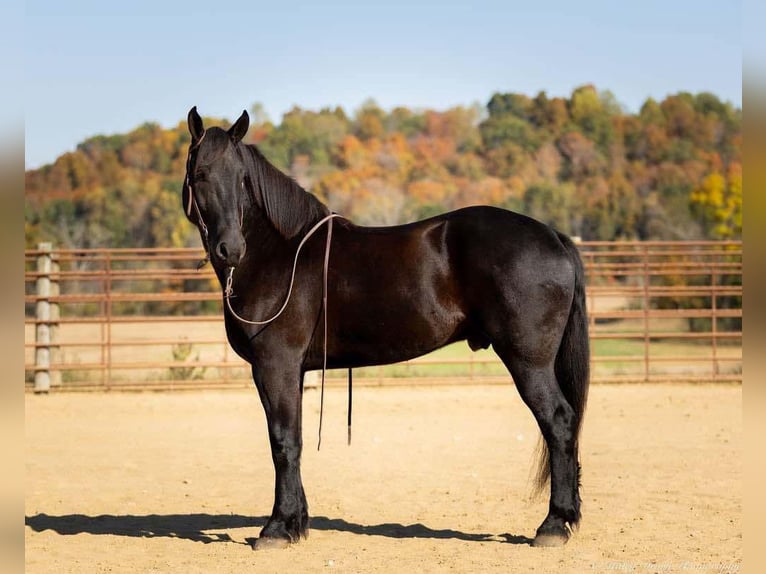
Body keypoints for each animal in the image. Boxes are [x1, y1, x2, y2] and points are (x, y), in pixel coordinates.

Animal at [183, 107, 592, 548]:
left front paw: (277, 528)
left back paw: (553, 524)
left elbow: (283, 442)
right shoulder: (289, 371)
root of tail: (553, 236)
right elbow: (295, 437)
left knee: (559, 422)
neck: (280, 253)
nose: (231, 250)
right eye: (201, 173)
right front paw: (297, 523)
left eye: (241, 178)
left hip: (529, 362)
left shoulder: (275, 366)